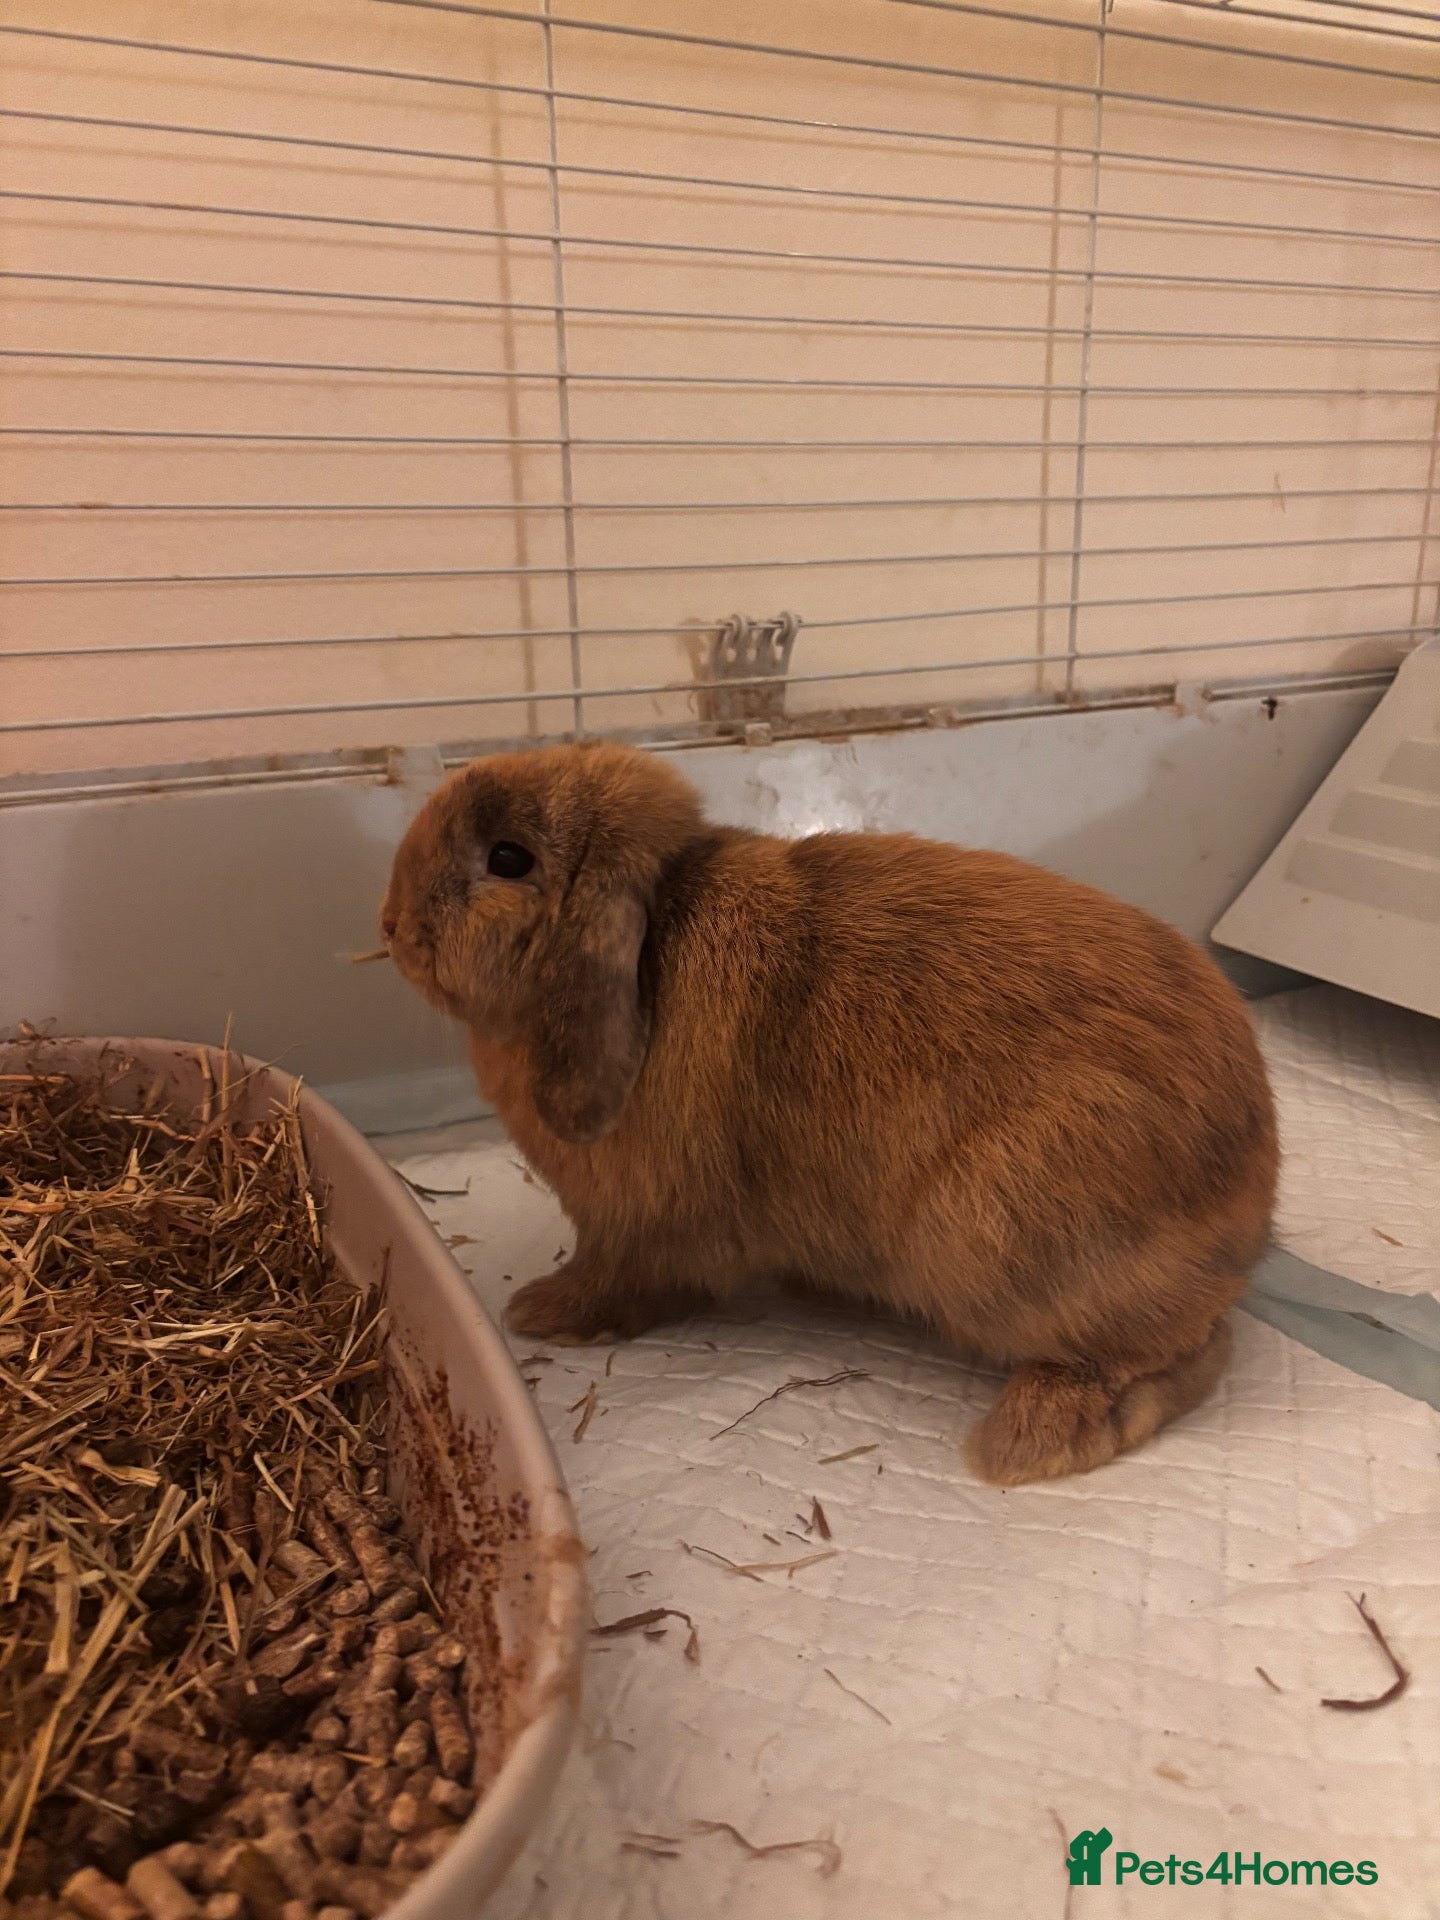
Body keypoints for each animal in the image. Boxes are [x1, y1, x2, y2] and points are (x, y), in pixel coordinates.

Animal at [381, 740, 1278, 1485]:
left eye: (507, 858)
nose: (389, 925)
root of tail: (1252, 1206)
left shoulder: (636, 1230)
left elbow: (617, 1281)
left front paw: (539, 1313)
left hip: (1002, 1232)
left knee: (1181, 1353)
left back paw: (1028, 1440)